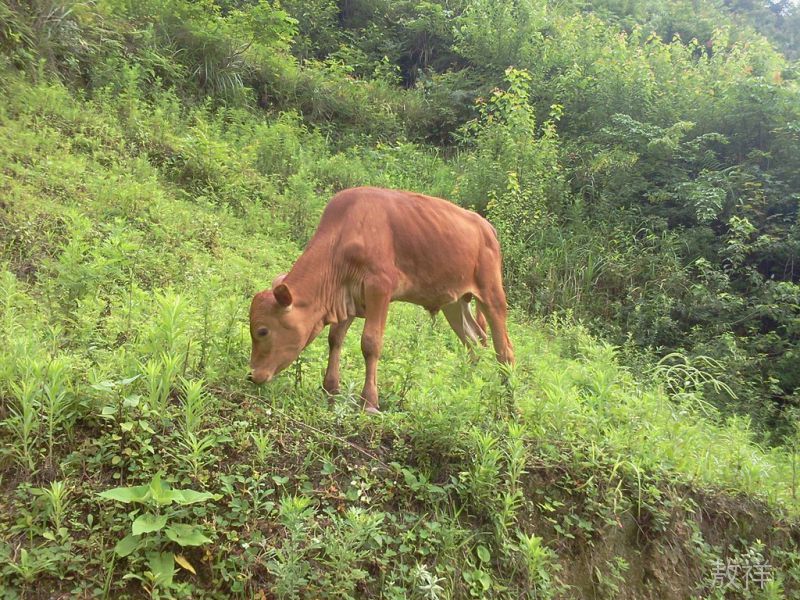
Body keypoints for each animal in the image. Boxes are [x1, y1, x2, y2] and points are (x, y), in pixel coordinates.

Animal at [247, 188, 516, 412]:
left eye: (262, 331)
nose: (252, 375)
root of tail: (487, 227)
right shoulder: (347, 296)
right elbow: (335, 338)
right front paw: (331, 388)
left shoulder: (379, 288)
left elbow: (370, 343)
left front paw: (369, 402)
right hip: (454, 301)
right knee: (475, 343)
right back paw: (468, 388)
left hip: (492, 293)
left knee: (504, 350)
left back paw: (510, 406)